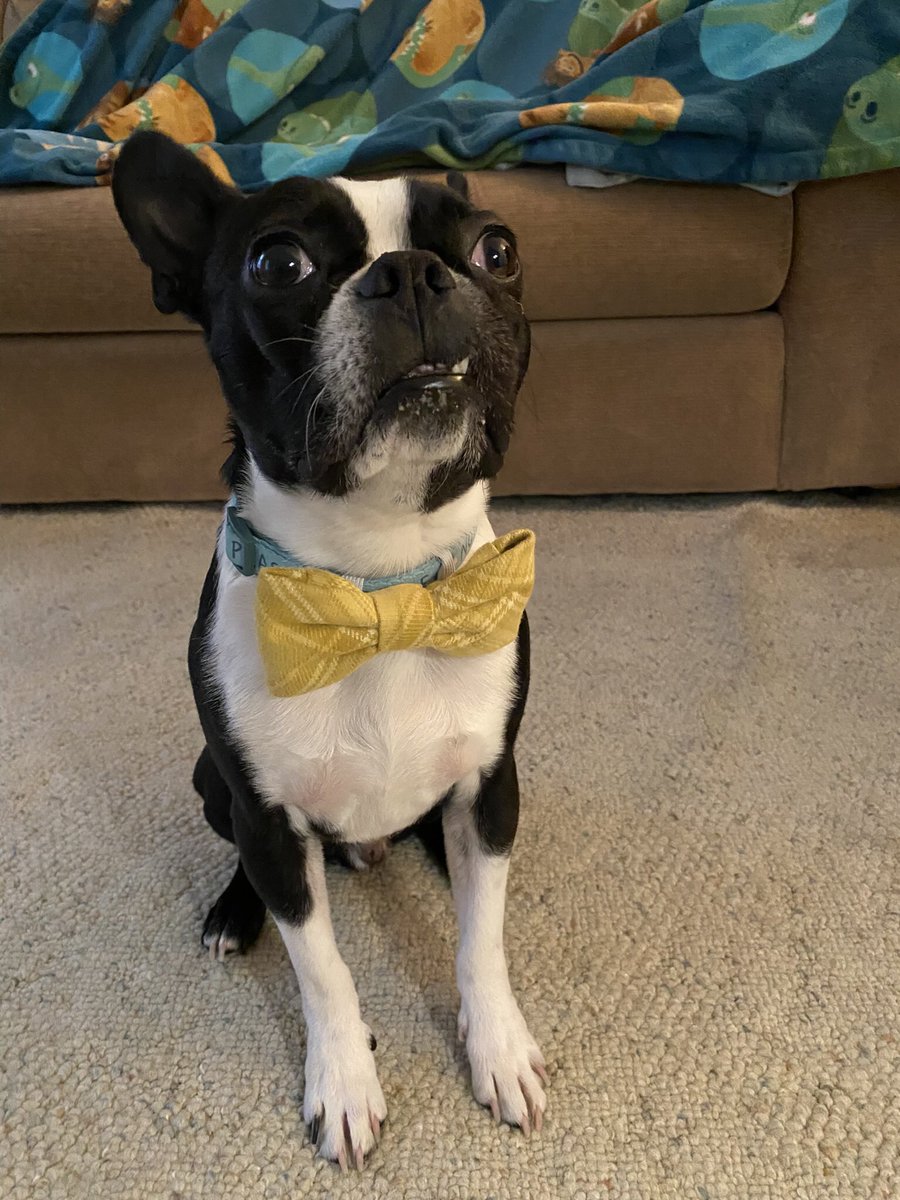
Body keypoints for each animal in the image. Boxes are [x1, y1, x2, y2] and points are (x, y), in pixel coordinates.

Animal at [112, 133, 549, 1171]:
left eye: (498, 249)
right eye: (279, 263)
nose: (413, 272)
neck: (379, 583)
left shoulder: (495, 781)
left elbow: (482, 942)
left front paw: (497, 1048)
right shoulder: (269, 820)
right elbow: (323, 971)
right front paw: (344, 1085)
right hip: (213, 784)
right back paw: (236, 916)